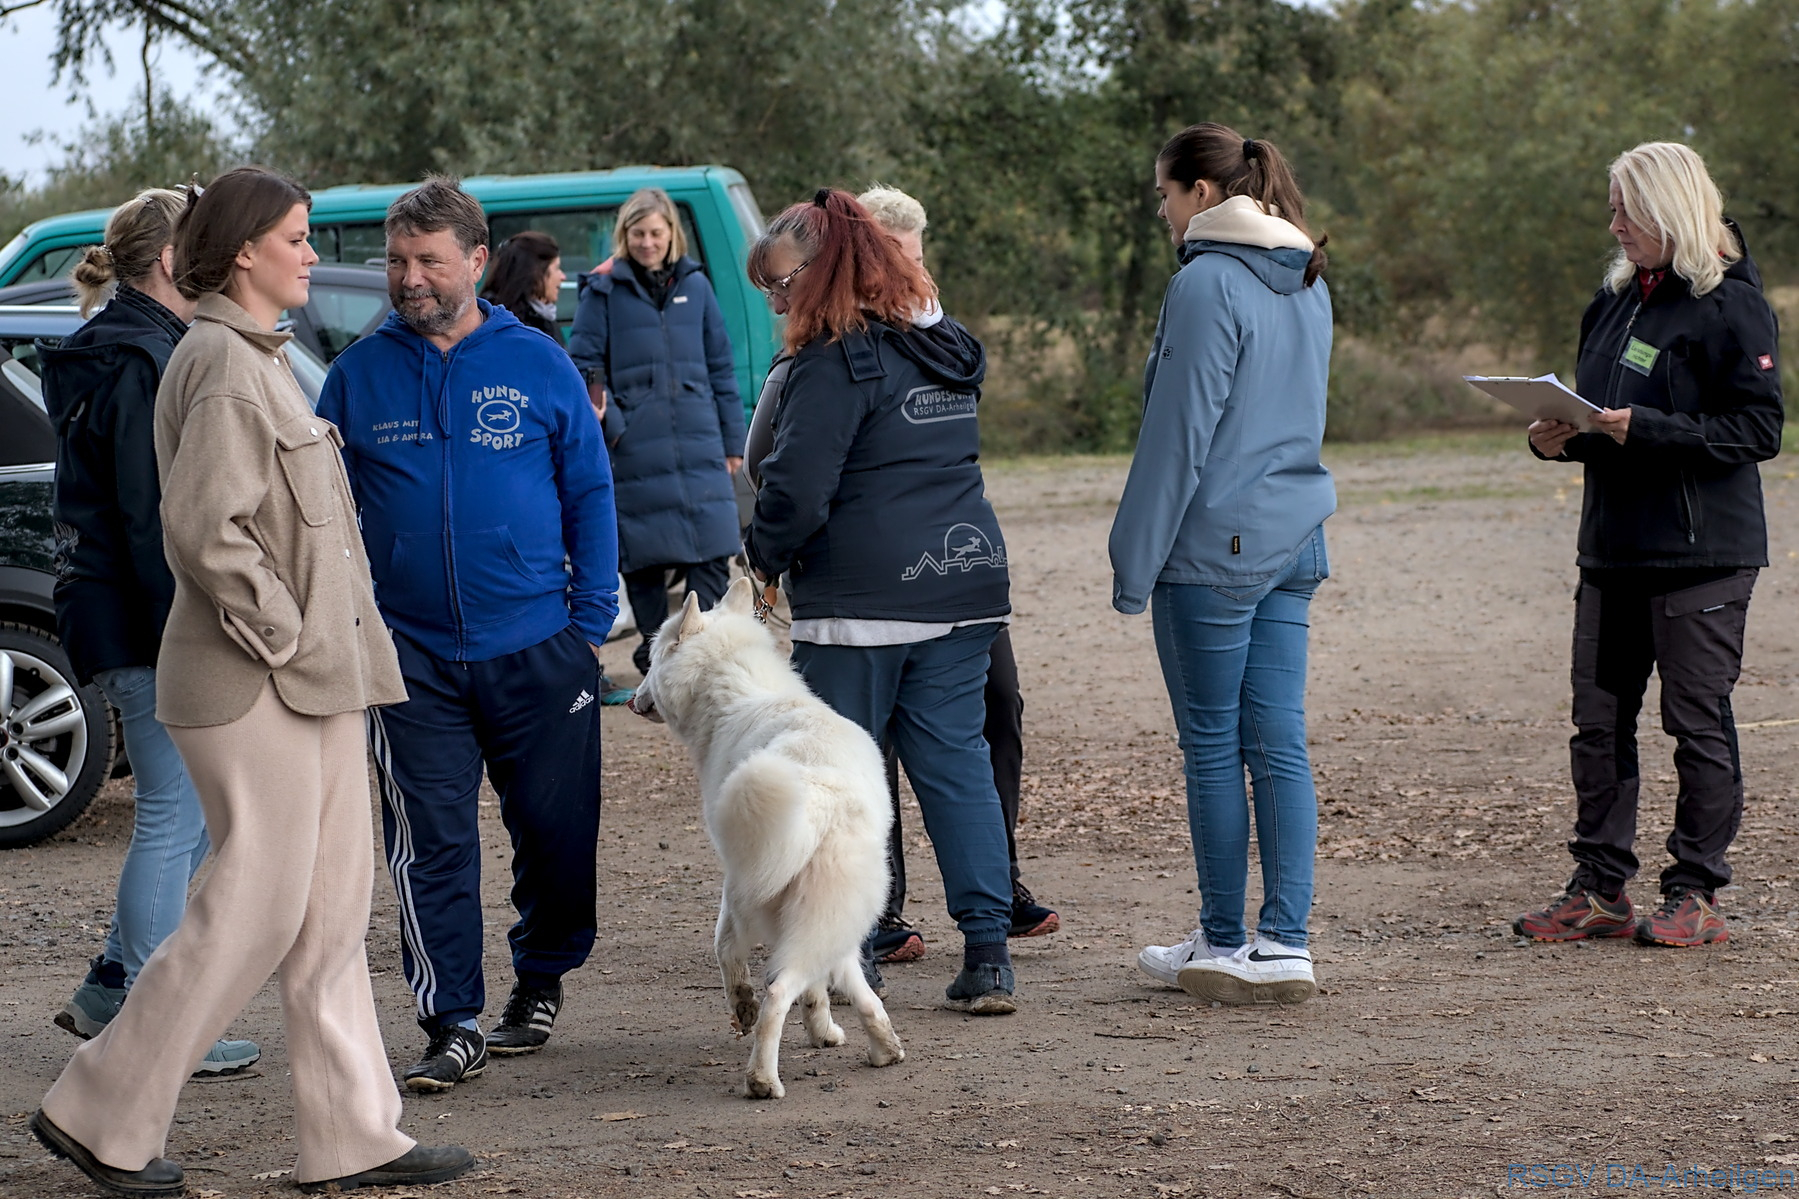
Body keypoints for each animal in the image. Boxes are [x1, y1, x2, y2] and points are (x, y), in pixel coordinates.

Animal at [627, 576, 904, 1098]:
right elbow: (831, 986)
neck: (738, 692)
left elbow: (724, 950)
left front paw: (743, 1005)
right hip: (836, 915)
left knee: (777, 991)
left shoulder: (738, 884)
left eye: (651, 660)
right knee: (837, 978)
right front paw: (826, 1031)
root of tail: (820, 794)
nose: (631, 699)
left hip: (770, 895)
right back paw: (883, 1048)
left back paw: (761, 1078)